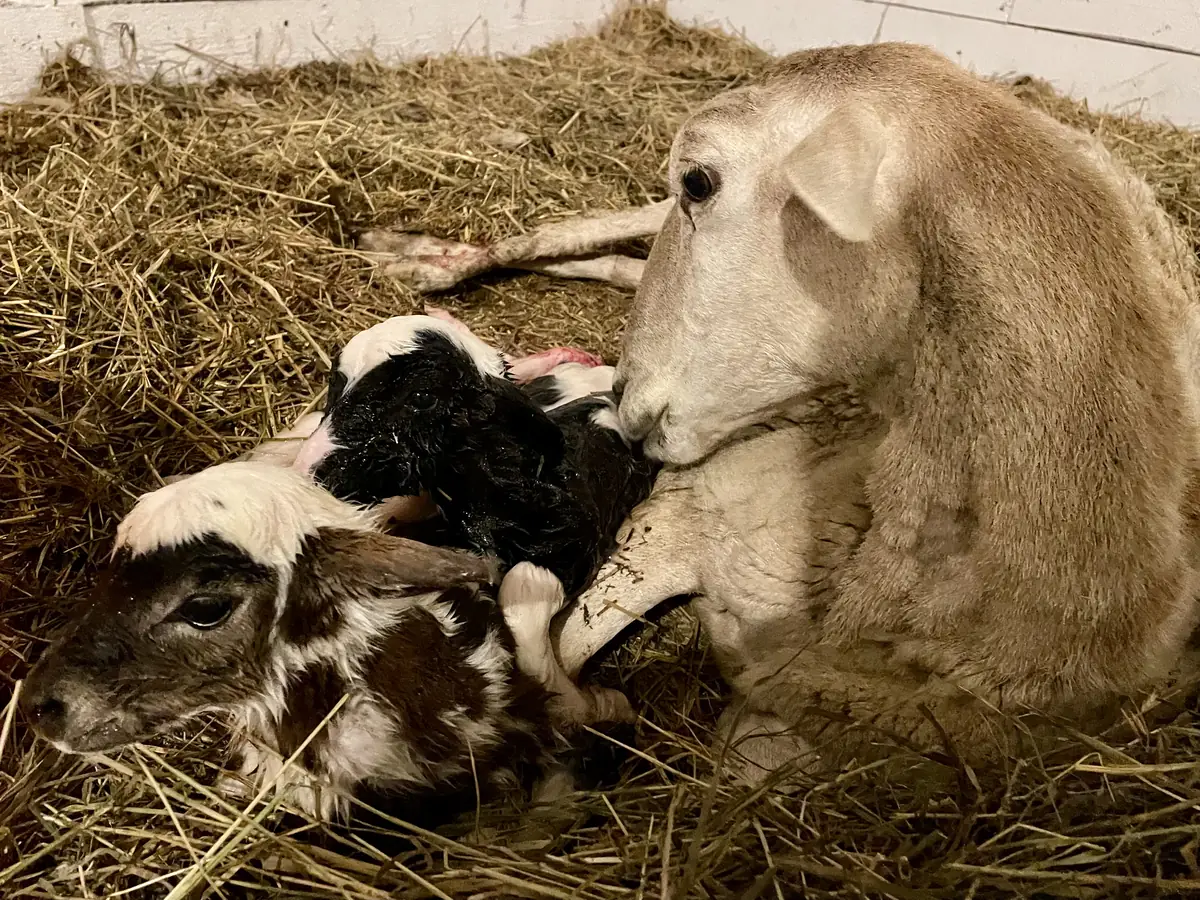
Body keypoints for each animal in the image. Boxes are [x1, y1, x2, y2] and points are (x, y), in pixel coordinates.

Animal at [289, 314, 660, 724]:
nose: (309, 470)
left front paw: (604, 704)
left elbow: (522, 586)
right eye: (334, 386)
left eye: (422, 398)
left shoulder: (575, 540)